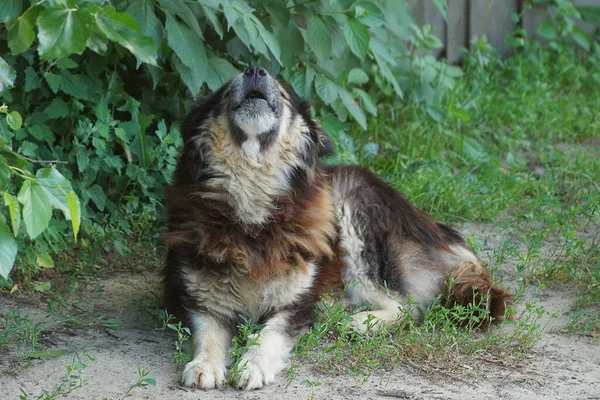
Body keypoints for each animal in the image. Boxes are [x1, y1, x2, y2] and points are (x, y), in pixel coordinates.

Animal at [163, 66, 510, 390]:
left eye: (283, 93)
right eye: (224, 91)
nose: (255, 70)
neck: (253, 208)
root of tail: (441, 231)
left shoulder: (297, 304)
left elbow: (269, 334)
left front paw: (253, 365)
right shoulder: (201, 298)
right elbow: (207, 334)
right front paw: (204, 366)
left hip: (354, 210)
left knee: (407, 306)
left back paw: (363, 322)